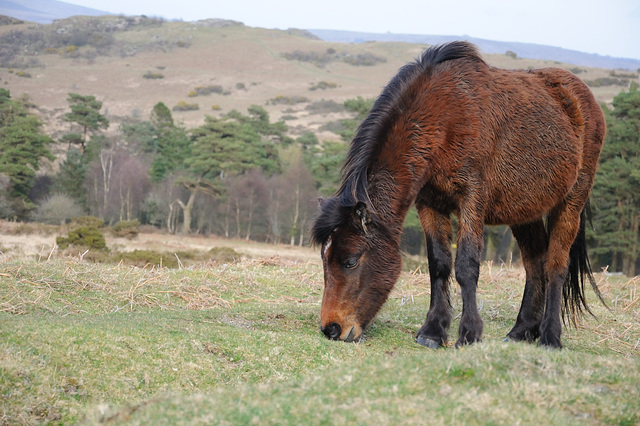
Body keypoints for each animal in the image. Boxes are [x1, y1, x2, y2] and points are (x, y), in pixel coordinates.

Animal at [312, 41, 608, 350]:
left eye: (351, 261)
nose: (332, 328)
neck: (444, 117)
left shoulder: (472, 200)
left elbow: (466, 265)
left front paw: (468, 333)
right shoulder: (429, 203)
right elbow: (439, 263)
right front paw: (433, 331)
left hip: (571, 203)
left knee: (556, 265)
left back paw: (550, 336)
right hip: (524, 210)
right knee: (534, 263)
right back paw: (522, 330)